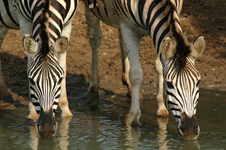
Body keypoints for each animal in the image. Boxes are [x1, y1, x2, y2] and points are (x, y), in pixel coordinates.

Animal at [0, 0, 77, 137]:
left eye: (59, 79)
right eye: (31, 80)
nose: (46, 129)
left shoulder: (68, 22)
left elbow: (63, 64)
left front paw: (65, 109)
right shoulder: (23, 19)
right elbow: (30, 63)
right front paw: (32, 112)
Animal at [84, 0, 206, 140]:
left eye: (198, 82)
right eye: (170, 84)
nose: (190, 132)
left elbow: (160, 67)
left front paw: (161, 107)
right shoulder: (127, 26)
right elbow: (136, 74)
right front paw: (134, 119)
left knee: (120, 40)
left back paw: (128, 85)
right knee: (95, 38)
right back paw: (93, 89)